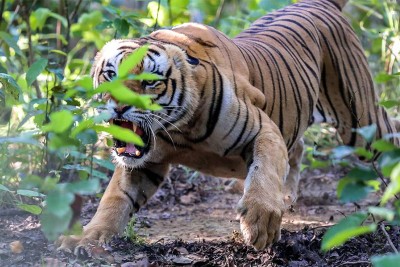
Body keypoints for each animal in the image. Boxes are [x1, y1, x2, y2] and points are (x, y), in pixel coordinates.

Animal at [56, 0, 400, 253]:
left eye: (150, 81)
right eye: (110, 74)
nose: (118, 106)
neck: (179, 130)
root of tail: (320, 2)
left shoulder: (263, 130)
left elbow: (264, 170)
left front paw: (260, 223)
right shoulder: (145, 164)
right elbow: (115, 199)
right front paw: (86, 237)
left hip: (362, 123)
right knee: (298, 147)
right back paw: (287, 197)